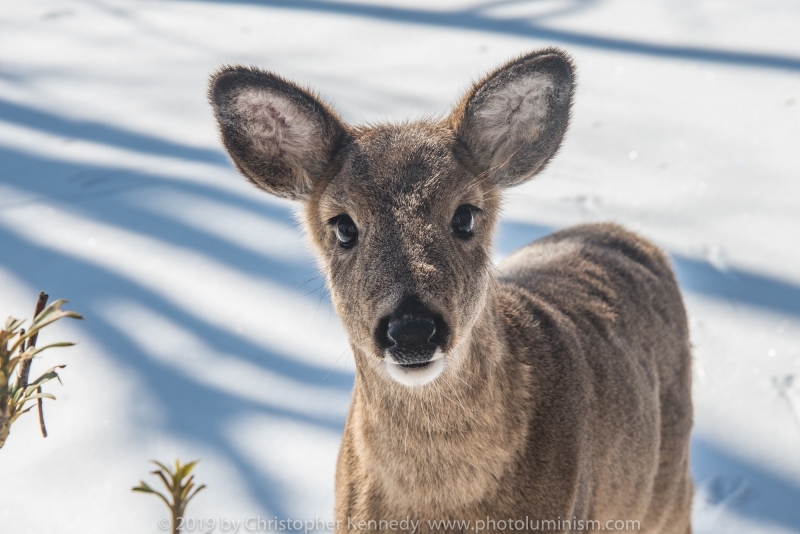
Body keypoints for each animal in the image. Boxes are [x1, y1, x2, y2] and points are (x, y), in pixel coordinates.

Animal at [209, 48, 692, 532]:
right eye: (343, 226)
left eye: (465, 215)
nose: (411, 330)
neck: (437, 510)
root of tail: (624, 234)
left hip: (670, 495)